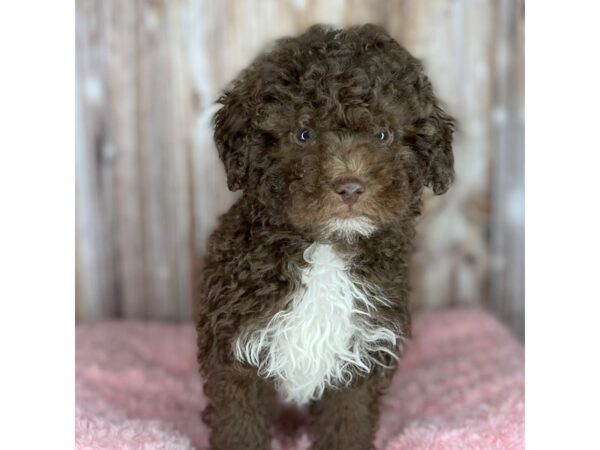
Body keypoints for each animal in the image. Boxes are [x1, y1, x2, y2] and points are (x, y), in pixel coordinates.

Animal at [197, 23, 454, 450]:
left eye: (383, 135)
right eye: (304, 134)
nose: (350, 187)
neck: (326, 250)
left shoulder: (361, 352)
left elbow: (346, 421)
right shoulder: (234, 348)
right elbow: (239, 424)